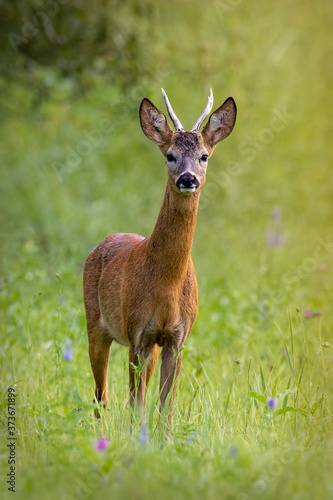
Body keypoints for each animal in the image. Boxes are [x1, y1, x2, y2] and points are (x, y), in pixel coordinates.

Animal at [84, 88, 237, 420]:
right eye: (170, 155)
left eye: (204, 155)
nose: (188, 179)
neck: (167, 286)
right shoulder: (137, 333)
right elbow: (137, 404)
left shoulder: (176, 338)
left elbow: (165, 406)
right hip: (96, 324)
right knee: (101, 396)